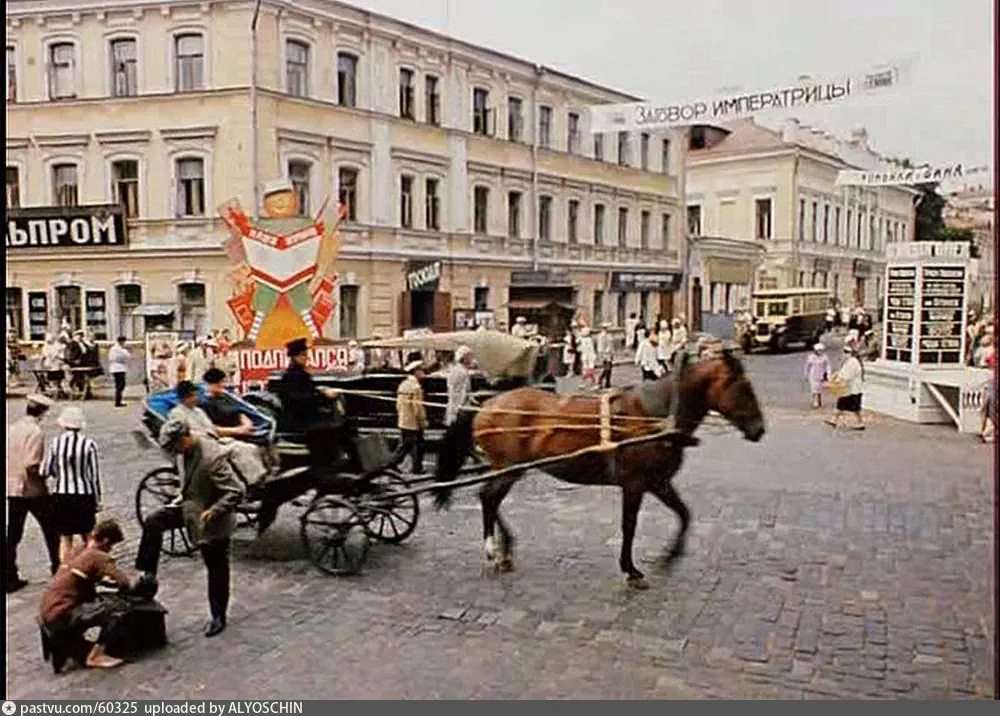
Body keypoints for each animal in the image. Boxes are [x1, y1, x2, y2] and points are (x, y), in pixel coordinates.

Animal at [434, 350, 768, 592]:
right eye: (743, 388)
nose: (759, 430)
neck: (655, 416)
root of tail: (486, 404)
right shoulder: (635, 484)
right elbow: (629, 526)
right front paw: (631, 570)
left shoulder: (658, 482)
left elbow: (684, 515)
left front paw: (669, 557)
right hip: (507, 468)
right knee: (488, 498)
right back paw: (493, 550)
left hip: (510, 469)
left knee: (491, 500)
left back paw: (505, 551)